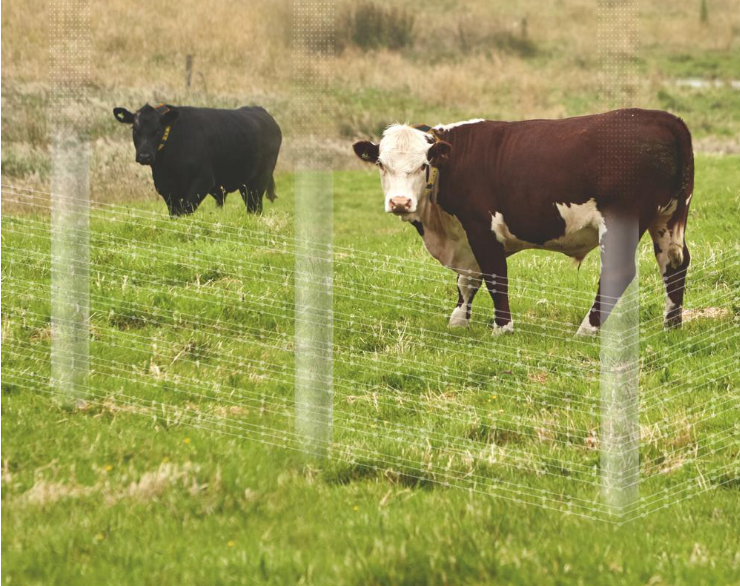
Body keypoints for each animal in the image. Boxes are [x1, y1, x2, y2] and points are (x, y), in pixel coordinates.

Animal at [113, 103, 282, 216]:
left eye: (158, 130)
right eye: (135, 129)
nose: (144, 156)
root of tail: (260, 110)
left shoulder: (202, 181)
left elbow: (186, 210)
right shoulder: (165, 186)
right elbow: (175, 213)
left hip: (258, 182)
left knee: (255, 208)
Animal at [353, 109, 694, 335]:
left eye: (424, 164)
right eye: (381, 164)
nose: (400, 202)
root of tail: (664, 119)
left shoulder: (482, 228)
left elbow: (494, 277)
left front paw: (502, 328)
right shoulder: (466, 237)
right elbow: (467, 280)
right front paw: (459, 320)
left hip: (621, 221)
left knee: (618, 271)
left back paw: (587, 328)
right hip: (668, 218)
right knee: (674, 262)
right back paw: (671, 324)